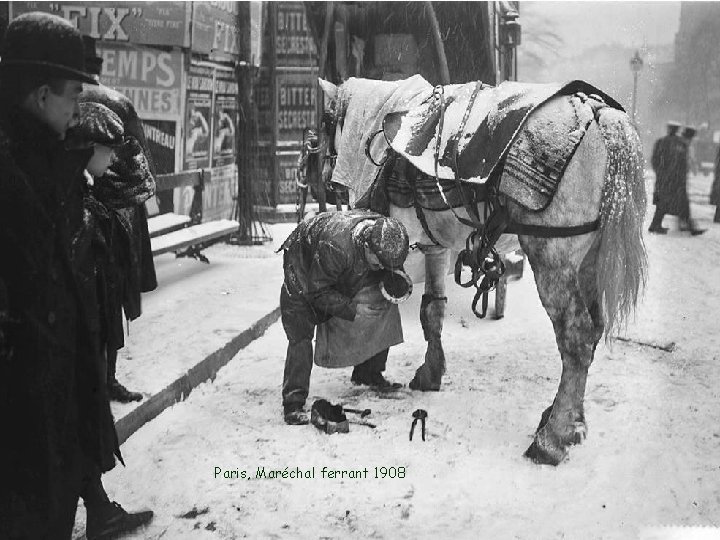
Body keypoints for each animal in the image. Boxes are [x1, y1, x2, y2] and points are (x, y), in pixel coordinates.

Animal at [320, 78, 648, 466]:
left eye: (326, 122)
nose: (324, 180)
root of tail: (596, 113)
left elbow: (379, 306)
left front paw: (368, 371)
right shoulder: (435, 248)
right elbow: (432, 310)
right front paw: (430, 372)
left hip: (552, 259)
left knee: (577, 338)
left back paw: (552, 437)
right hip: (588, 262)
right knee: (594, 329)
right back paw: (570, 422)